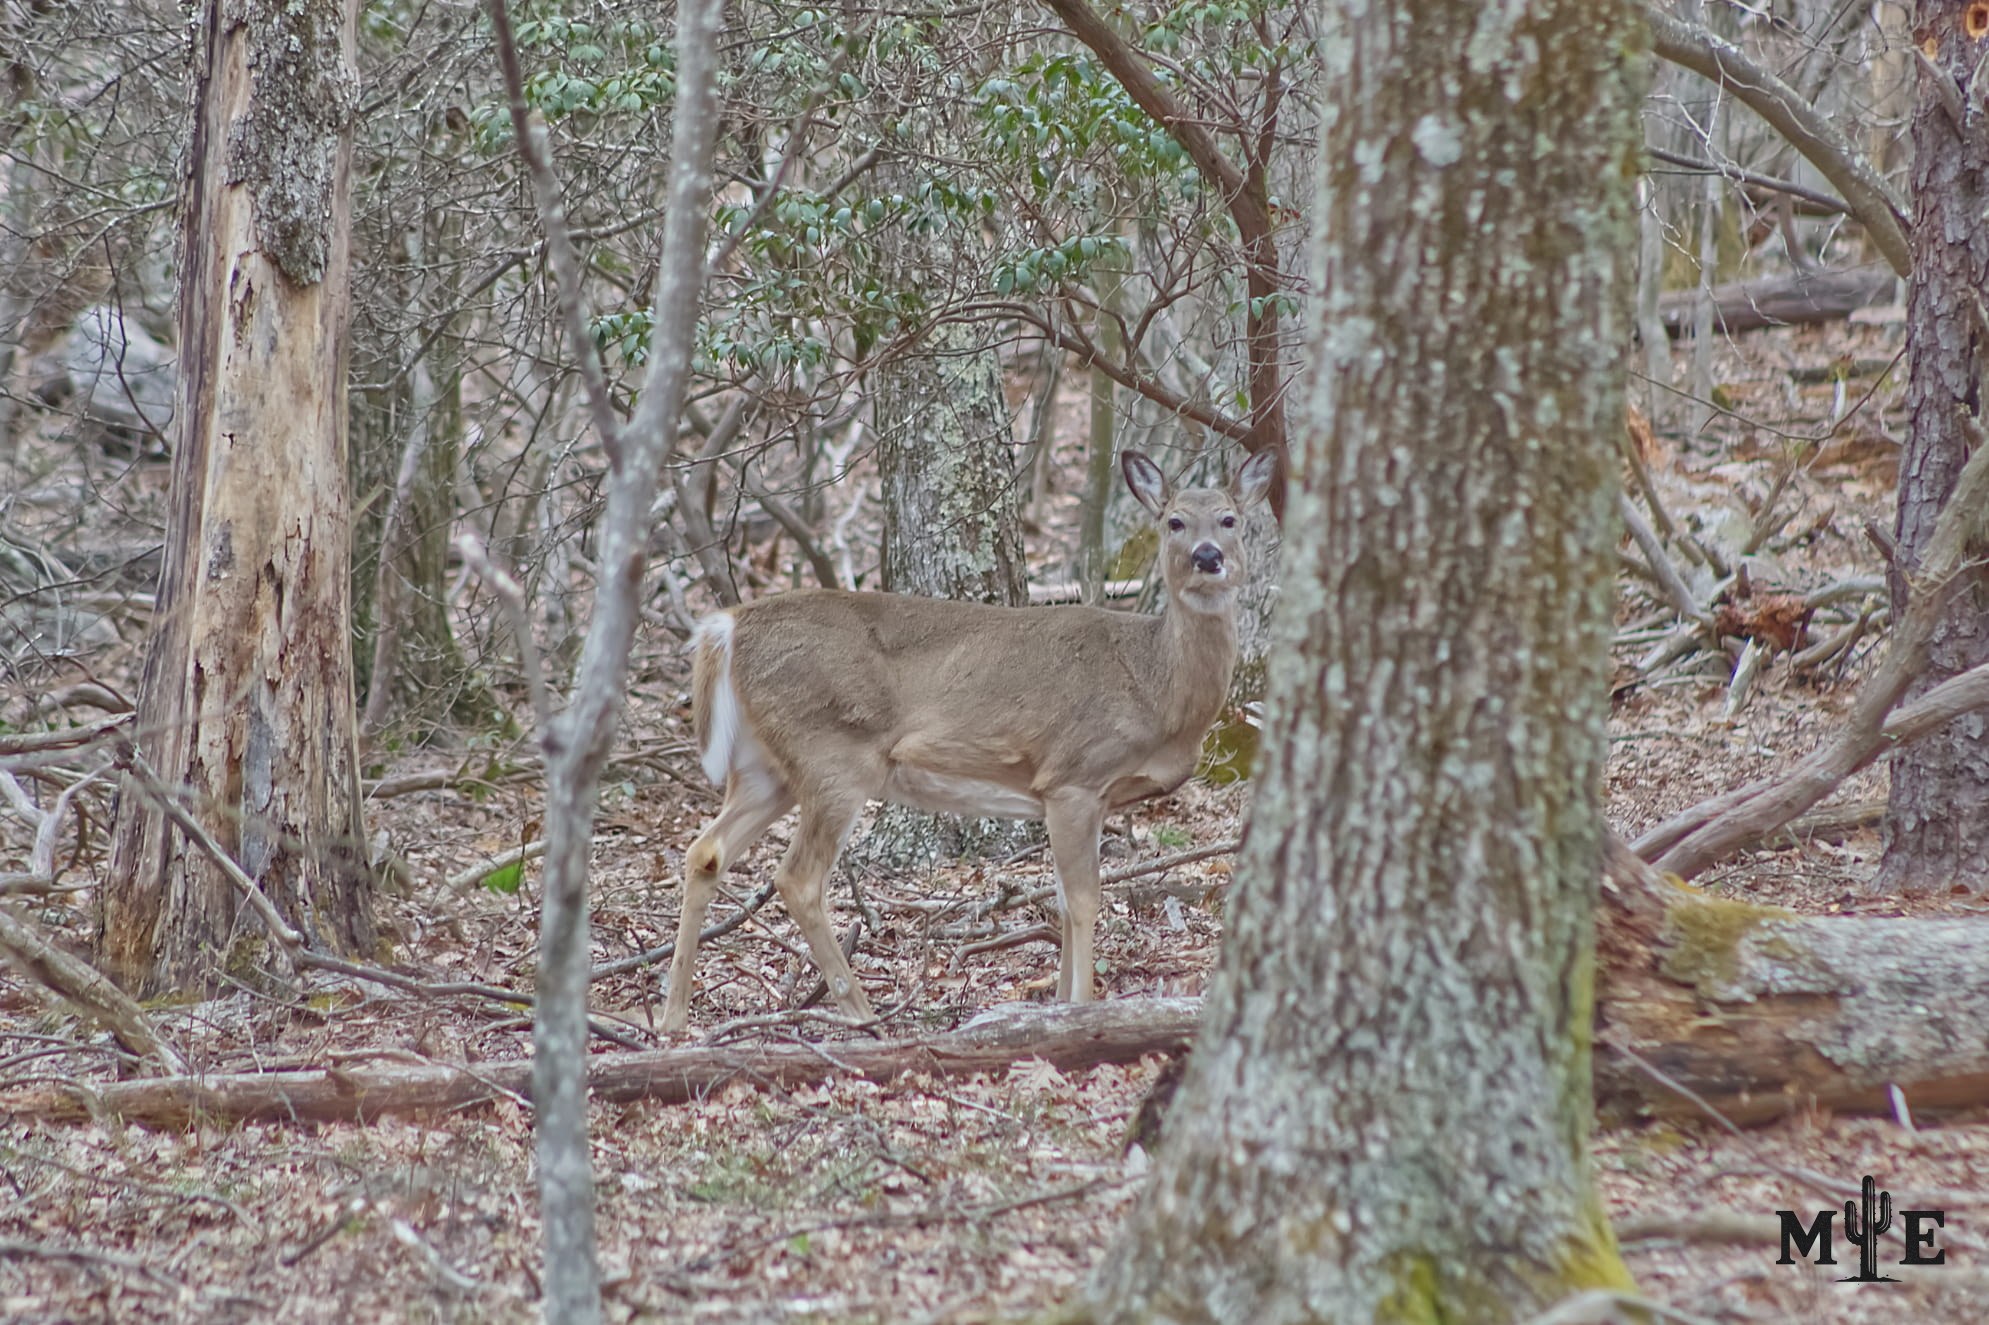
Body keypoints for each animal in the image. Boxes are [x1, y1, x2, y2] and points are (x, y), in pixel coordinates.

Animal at [661, 447, 1277, 1032]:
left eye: (1230, 519)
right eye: (1174, 521)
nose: (1208, 556)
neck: (1155, 686)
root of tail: (727, 625)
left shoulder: (1081, 796)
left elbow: (1060, 897)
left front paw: (1055, 1005)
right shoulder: (1074, 775)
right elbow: (1083, 900)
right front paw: (1080, 1010)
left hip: (768, 766)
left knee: (706, 850)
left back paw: (673, 1017)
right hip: (833, 751)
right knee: (798, 878)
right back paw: (863, 1015)